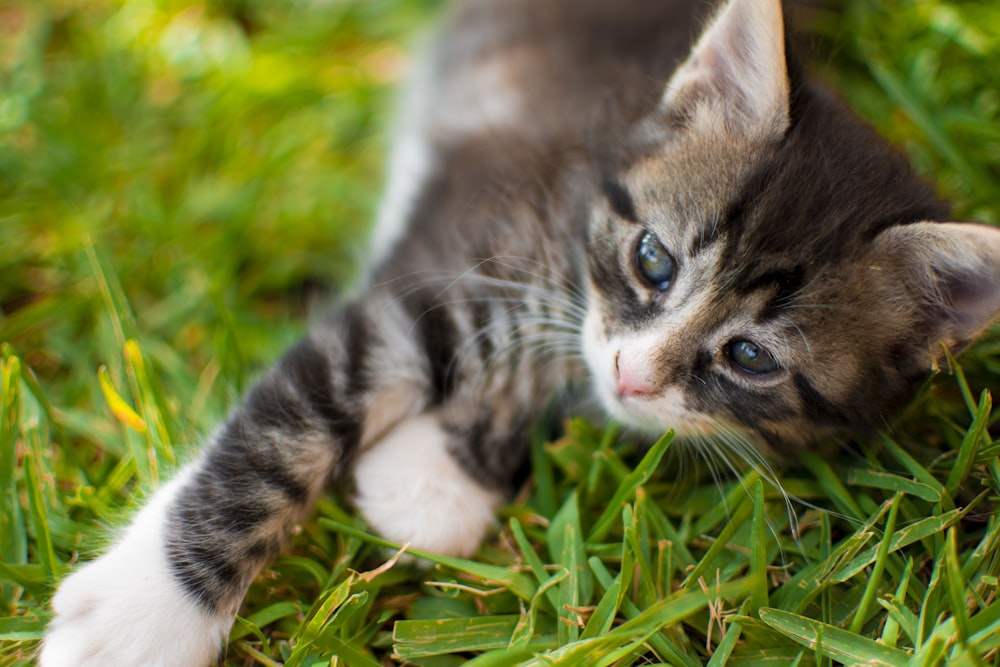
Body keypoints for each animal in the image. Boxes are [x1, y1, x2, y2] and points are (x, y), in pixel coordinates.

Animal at [39, 1, 1000, 667]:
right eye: (653, 260)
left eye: (750, 357)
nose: (635, 374)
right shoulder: (430, 271)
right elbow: (280, 436)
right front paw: (142, 618)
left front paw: (433, 474)